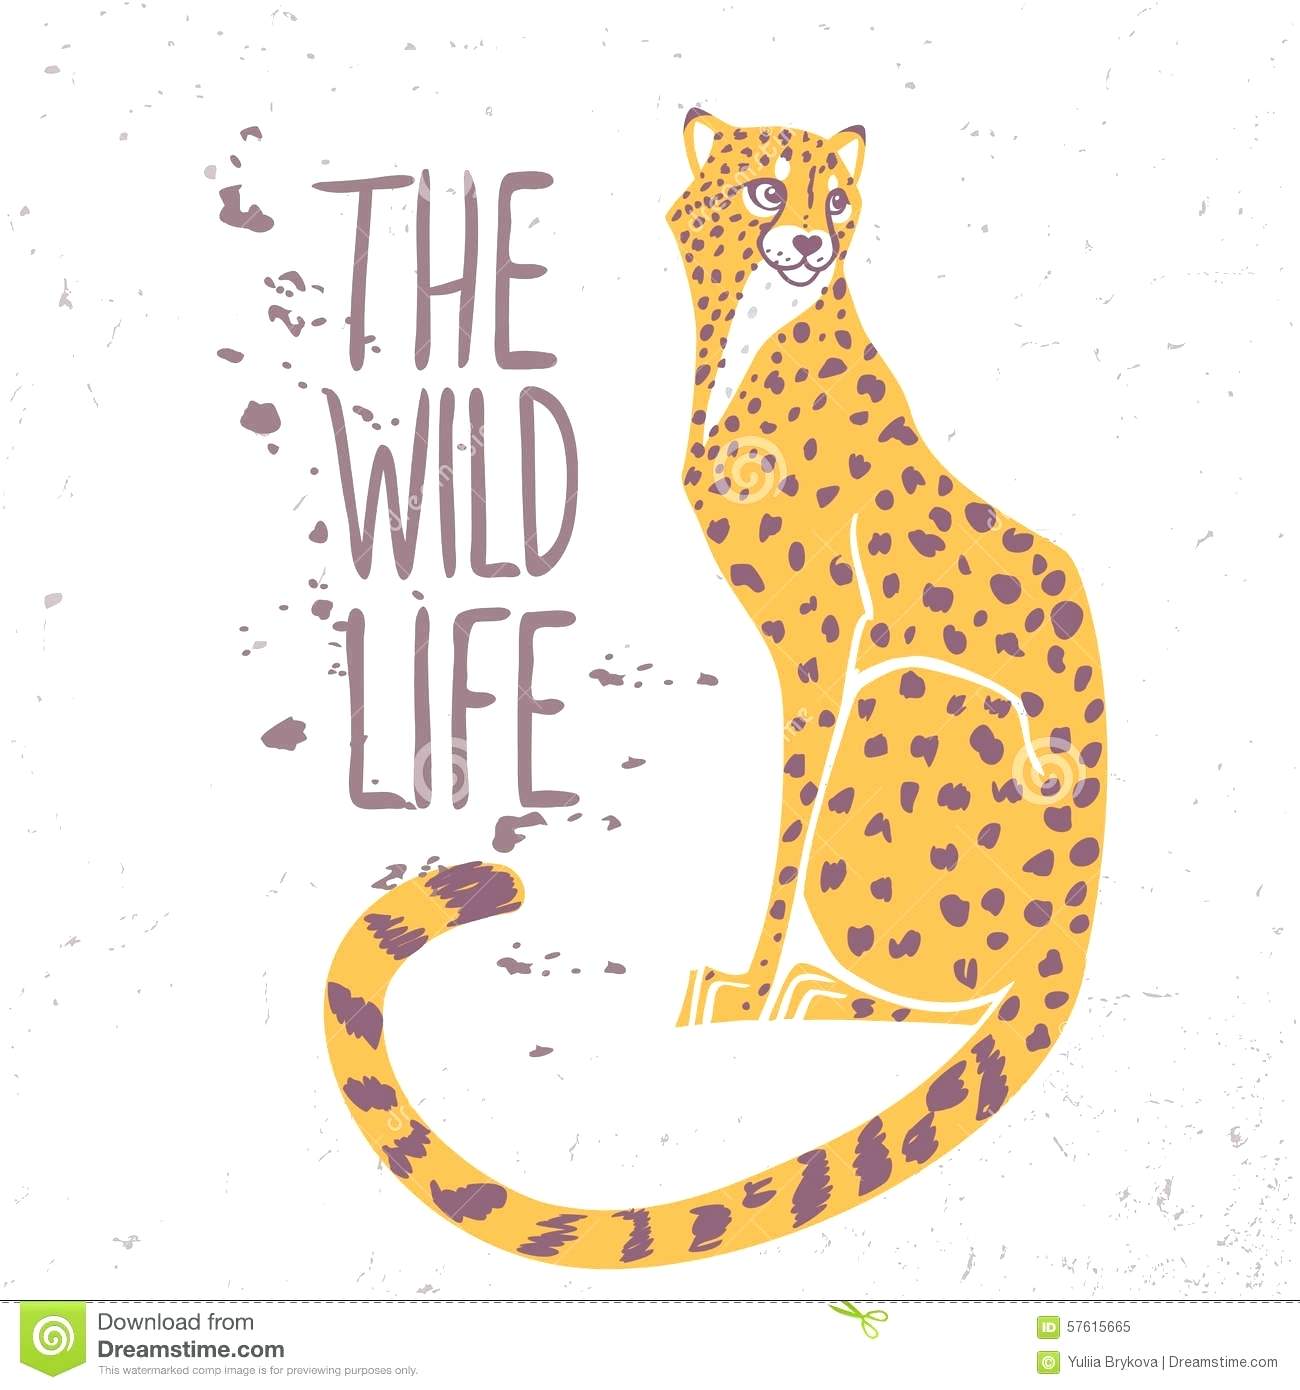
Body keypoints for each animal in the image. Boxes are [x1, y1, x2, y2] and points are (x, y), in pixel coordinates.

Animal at [322, 111, 1106, 1268]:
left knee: (965, 995)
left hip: (912, 693)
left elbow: (791, 812)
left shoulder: (831, 639)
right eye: (764, 191)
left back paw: (821, 994)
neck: (748, 331)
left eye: (836, 200)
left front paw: (752, 981)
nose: (811, 244)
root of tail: (1078, 927)